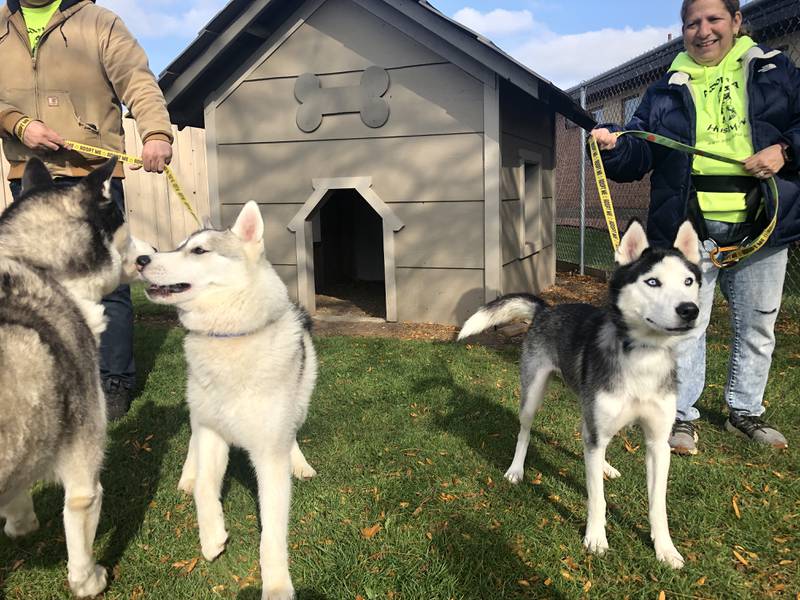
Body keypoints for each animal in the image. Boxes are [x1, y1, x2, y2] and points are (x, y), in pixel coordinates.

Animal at [0, 157, 146, 596]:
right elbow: (80, 512)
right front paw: (89, 581)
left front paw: (20, 522)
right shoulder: (83, 459)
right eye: (124, 223)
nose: (150, 255)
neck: (36, 265)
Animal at [136, 203, 314, 600]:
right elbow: (206, 487)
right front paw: (212, 536)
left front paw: (276, 585)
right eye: (177, 245)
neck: (228, 337)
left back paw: (299, 462)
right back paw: (188, 473)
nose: (141, 259)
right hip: (198, 411)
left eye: (199, 251)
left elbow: (273, 534)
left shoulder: (269, 455)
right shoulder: (212, 433)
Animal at [456, 219, 700, 568]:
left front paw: (665, 549)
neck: (643, 357)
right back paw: (517, 470)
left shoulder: (657, 443)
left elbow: (658, 506)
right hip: (533, 396)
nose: (690, 310)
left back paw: (605, 466)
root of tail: (546, 309)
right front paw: (596, 538)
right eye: (653, 282)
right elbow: (597, 498)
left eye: (688, 281)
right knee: (525, 432)